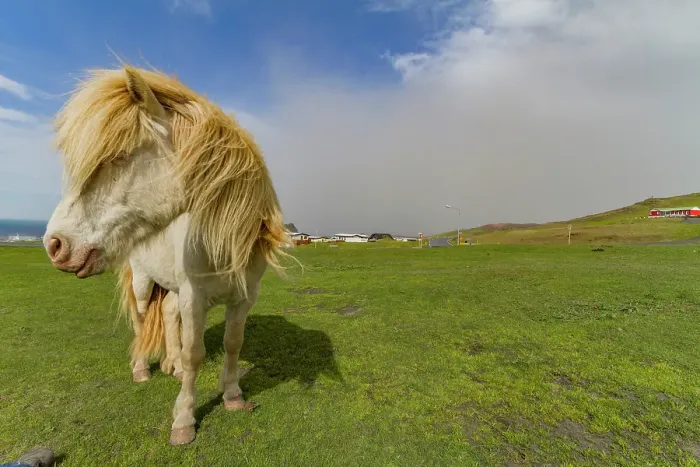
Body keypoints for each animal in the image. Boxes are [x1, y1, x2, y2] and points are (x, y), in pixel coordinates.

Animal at [43, 65, 290, 446]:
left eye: (117, 156)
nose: (54, 244)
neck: (221, 241)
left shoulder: (243, 298)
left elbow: (232, 344)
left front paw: (233, 396)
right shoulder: (194, 296)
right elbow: (194, 354)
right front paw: (184, 420)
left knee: (170, 316)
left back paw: (169, 364)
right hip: (145, 286)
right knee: (143, 321)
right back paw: (143, 368)